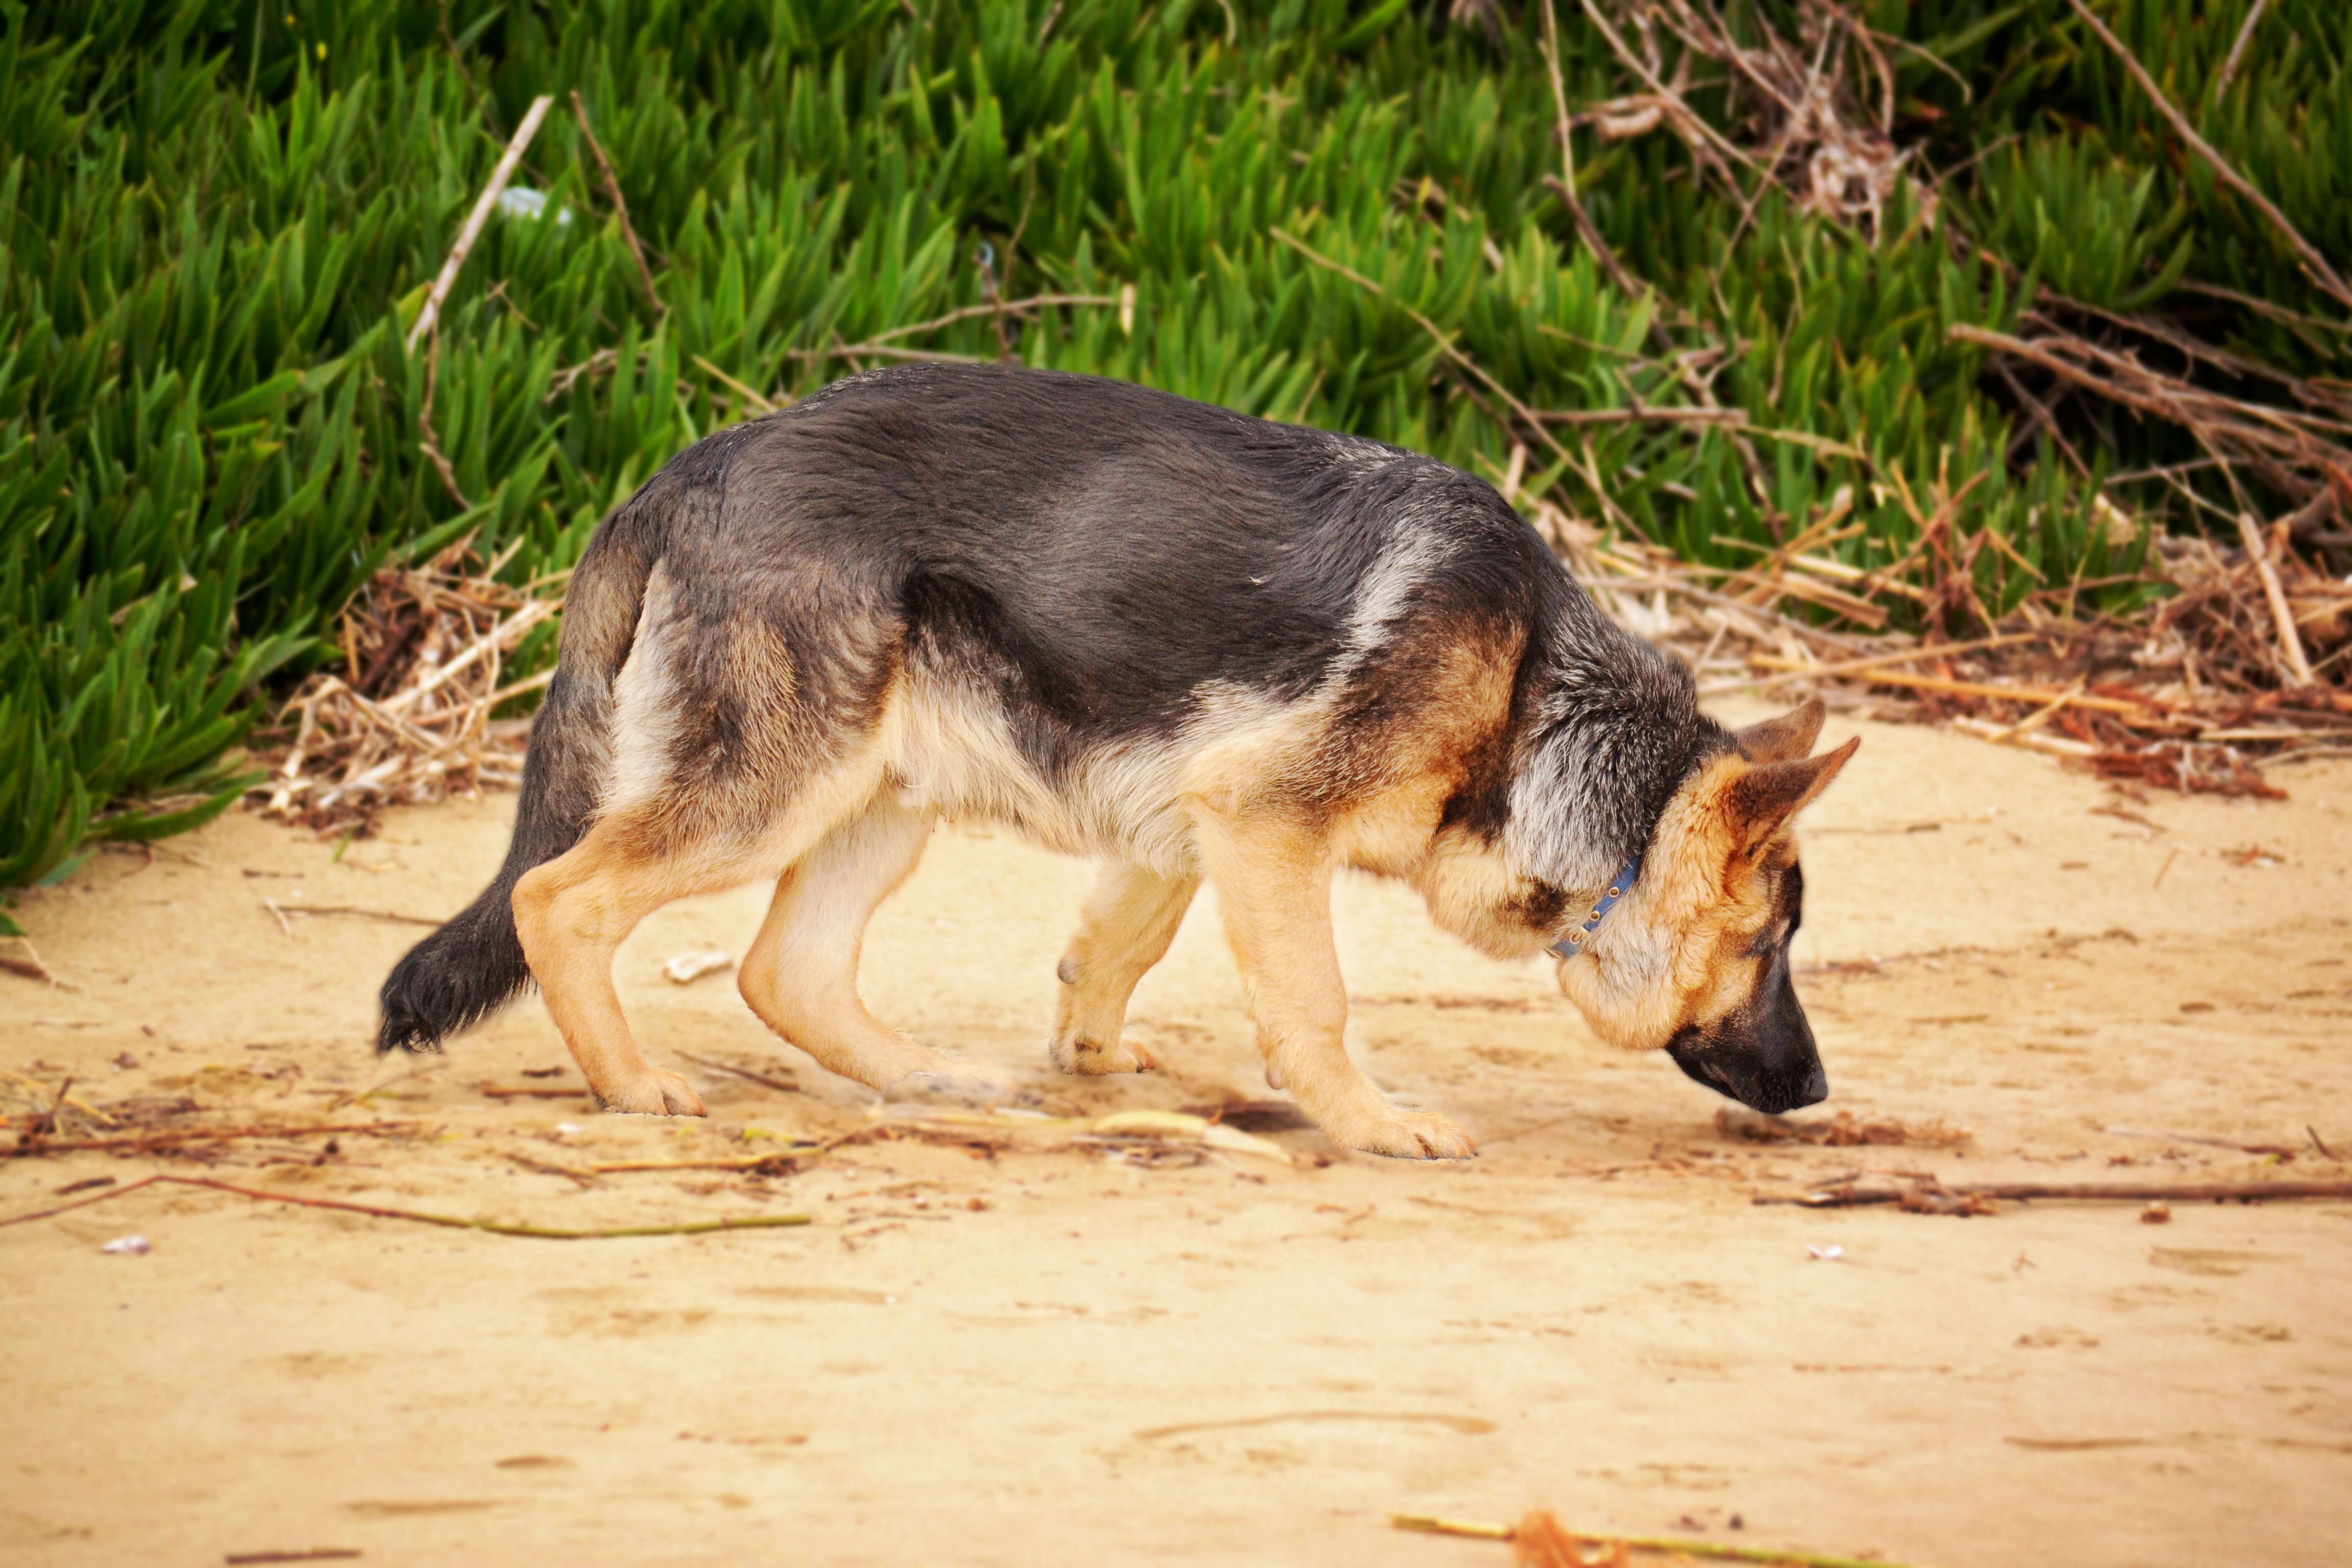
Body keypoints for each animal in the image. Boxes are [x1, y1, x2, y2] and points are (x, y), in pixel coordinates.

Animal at [381, 362, 1853, 1161]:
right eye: (1769, 945)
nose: (1821, 1089)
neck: (1537, 697)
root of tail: (680, 473)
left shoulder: (1193, 818)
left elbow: (1117, 951)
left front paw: (1089, 1058)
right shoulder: (1264, 820)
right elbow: (1314, 1002)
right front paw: (1370, 1122)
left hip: (878, 797)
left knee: (782, 970)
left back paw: (927, 1079)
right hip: (770, 794)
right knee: (555, 899)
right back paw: (632, 1087)